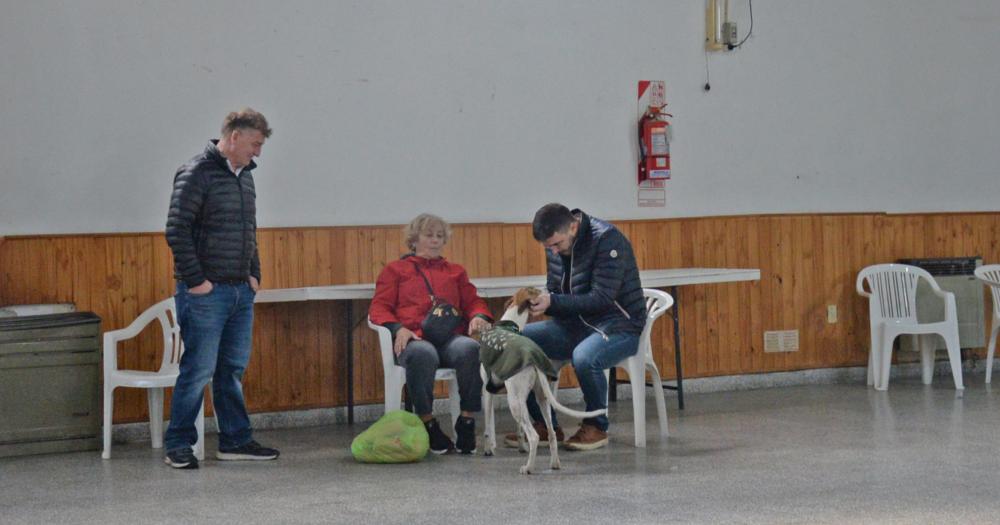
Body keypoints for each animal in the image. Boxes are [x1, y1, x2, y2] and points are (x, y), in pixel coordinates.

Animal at [478, 286, 604, 474]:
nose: (546, 290)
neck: (509, 323)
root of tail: (534, 360)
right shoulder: (514, 394)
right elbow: (519, 430)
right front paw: (521, 447)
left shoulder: (488, 390)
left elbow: (487, 428)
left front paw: (488, 449)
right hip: (538, 399)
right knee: (551, 433)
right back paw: (555, 463)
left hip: (515, 402)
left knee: (534, 436)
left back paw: (528, 467)